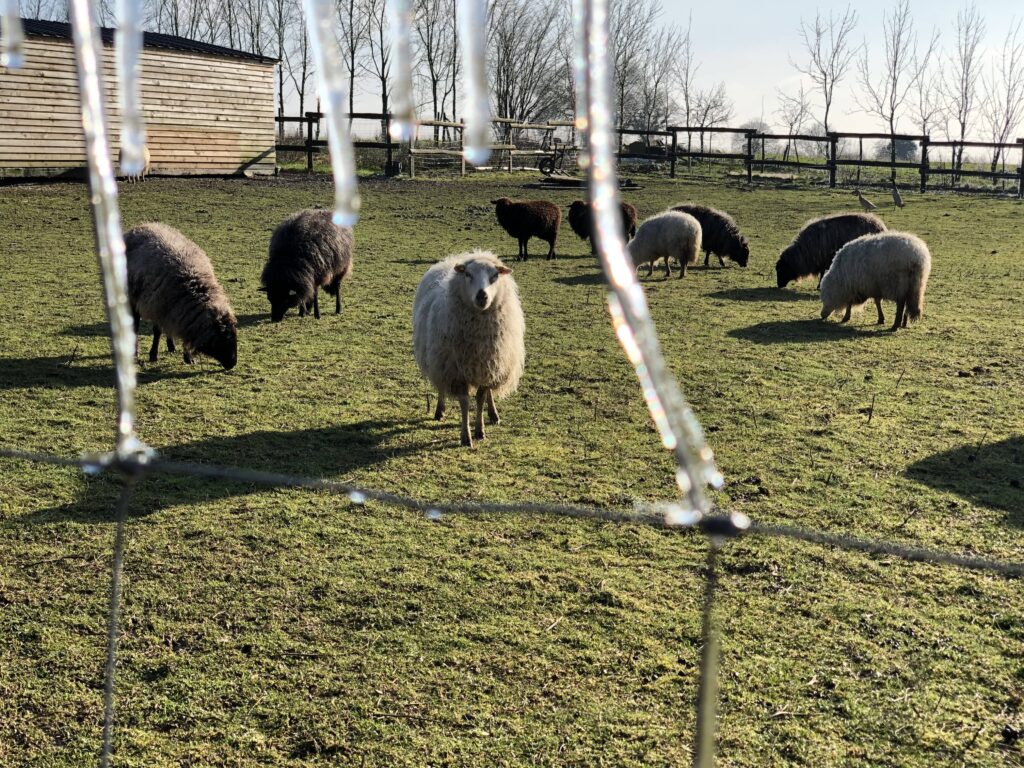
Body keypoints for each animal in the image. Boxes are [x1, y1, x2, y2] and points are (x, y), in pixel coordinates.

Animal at [125, 222, 237, 370]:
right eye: (223, 338)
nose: (233, 363)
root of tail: (145, 225)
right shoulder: (159, 307)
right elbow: (157, 332)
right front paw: (153, 355)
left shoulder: (177, 311)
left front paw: (188, 357)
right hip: (135, 297)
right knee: (135, 325)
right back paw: (135, 352)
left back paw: (171, 346)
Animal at [411, 249, 524, 448]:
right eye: (468, 274)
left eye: (495, 276)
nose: (482, 296)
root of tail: (456, 258)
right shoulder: (456, 372)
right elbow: (464, 402)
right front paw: (466, 436)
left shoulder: (489, 366)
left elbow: (480, 398)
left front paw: (480, 430)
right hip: (440, 360)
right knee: (441, 385)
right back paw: (439, 410)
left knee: (489, 393)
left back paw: (493, 414)